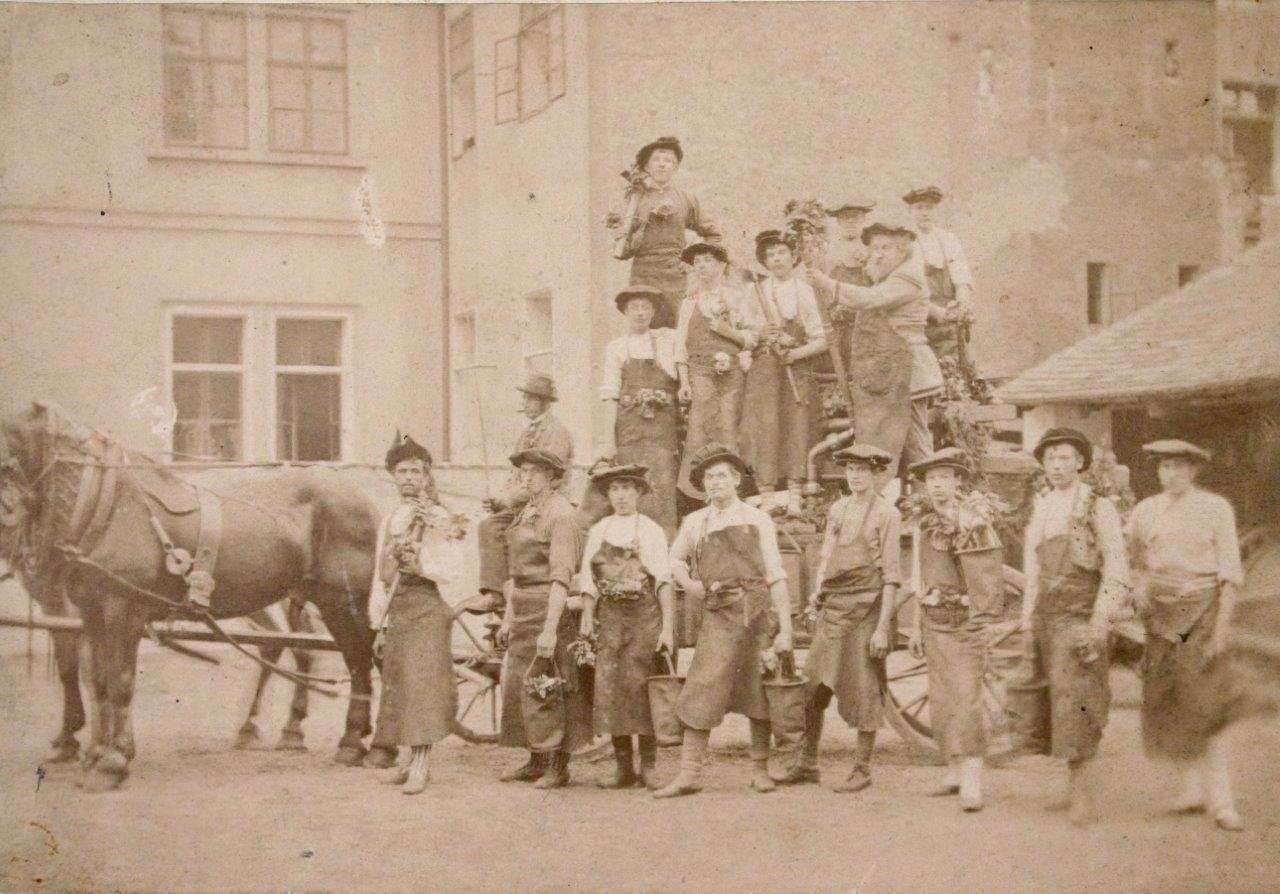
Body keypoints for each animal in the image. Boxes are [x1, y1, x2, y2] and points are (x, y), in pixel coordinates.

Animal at [0, 401, 385, 791]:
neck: (105, 502)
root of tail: (363, 498)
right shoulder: (91, 611)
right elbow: (99, 682)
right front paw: (94, 753)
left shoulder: (121, 610)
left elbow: (119, 681)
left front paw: (112, 761)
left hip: (344, 603)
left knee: (360, 661)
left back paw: (354, 742)